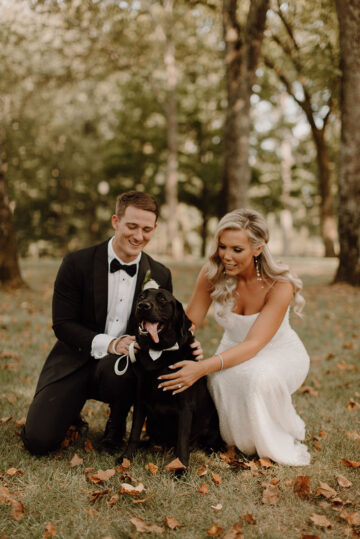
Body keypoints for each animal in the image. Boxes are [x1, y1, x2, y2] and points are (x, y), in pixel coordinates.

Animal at [118, 288, 221, 470]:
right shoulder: (140, 399)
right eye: (142, 296)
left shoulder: (185, 406)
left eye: (162, 299)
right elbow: (134, 433)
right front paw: (126, 457)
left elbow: (182, 441)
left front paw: (180, 468)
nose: (142, 306)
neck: (158, 352)